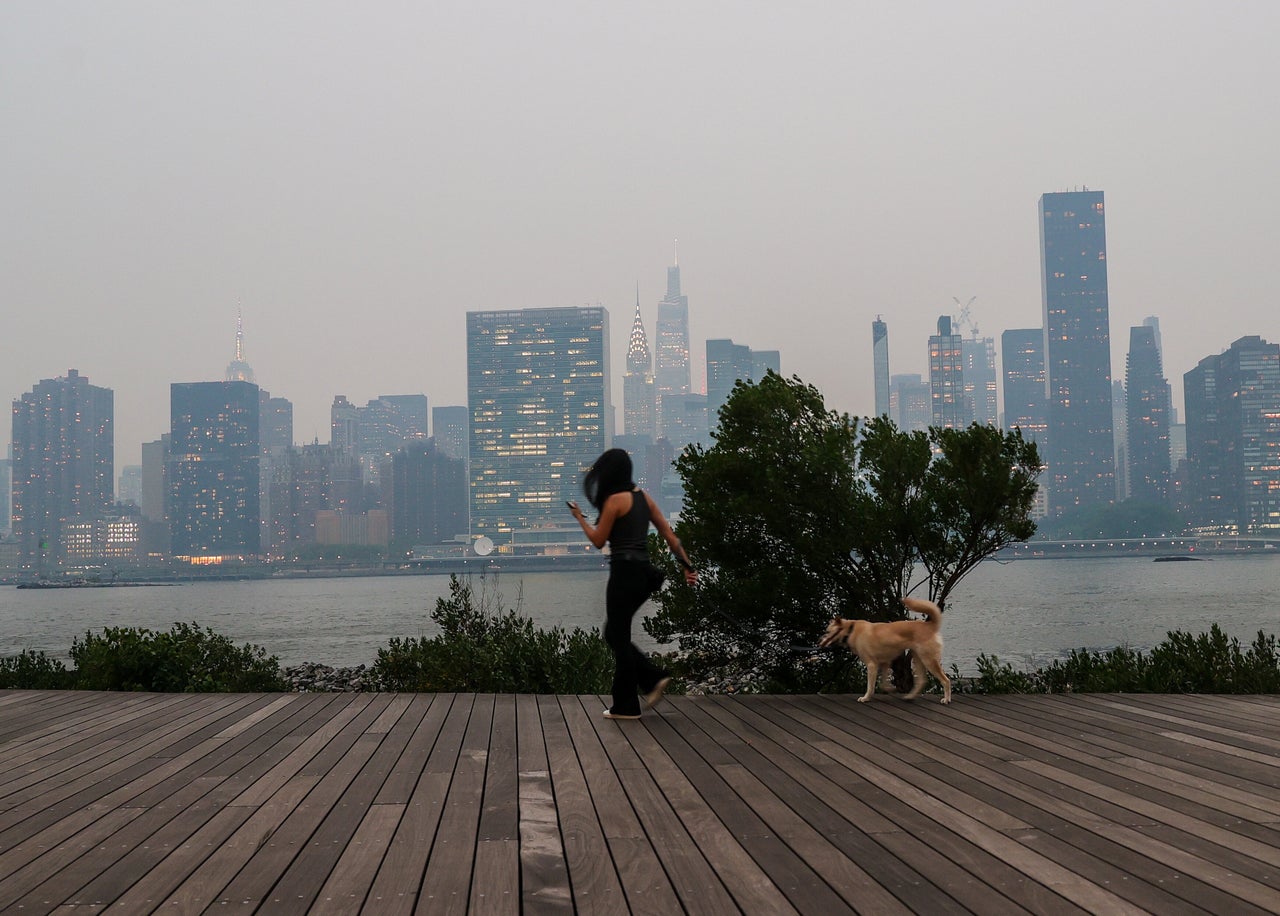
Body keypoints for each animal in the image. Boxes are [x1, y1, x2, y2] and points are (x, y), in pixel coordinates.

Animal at [819, 598, 952, 706]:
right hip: (918, 659)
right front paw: (891, 689)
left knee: (946, 680)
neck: (851, 630)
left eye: (827, 632)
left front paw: (866, 698)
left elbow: (870, 686)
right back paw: (910, 696)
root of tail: (930, 625)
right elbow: (883, 683)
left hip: (929, 660)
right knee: (921, 681)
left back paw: (946, 699)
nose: (819, 642)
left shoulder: (872, 665)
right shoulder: (884, 663)